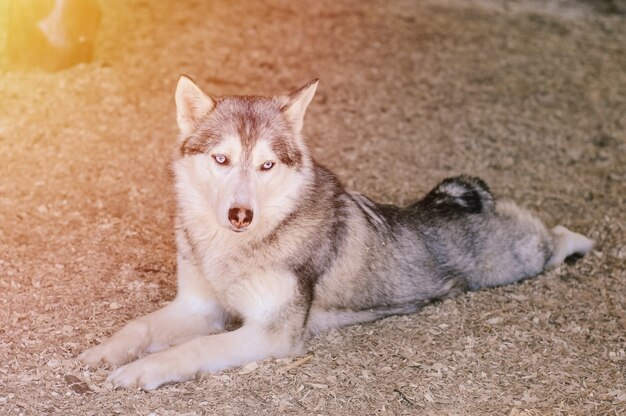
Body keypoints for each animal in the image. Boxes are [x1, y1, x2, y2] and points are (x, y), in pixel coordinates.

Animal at [79, 75, 596, 390]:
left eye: (266, 165)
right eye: (221, 159)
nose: (241, 214)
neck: (235, 247)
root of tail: (457, 198)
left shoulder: (272, 334)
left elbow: (193, 349)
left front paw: (142, 370)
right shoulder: (197, 307)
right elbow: (138, 326)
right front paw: (105, 353)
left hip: (521, 259)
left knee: (556, 235)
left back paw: (583, 243)